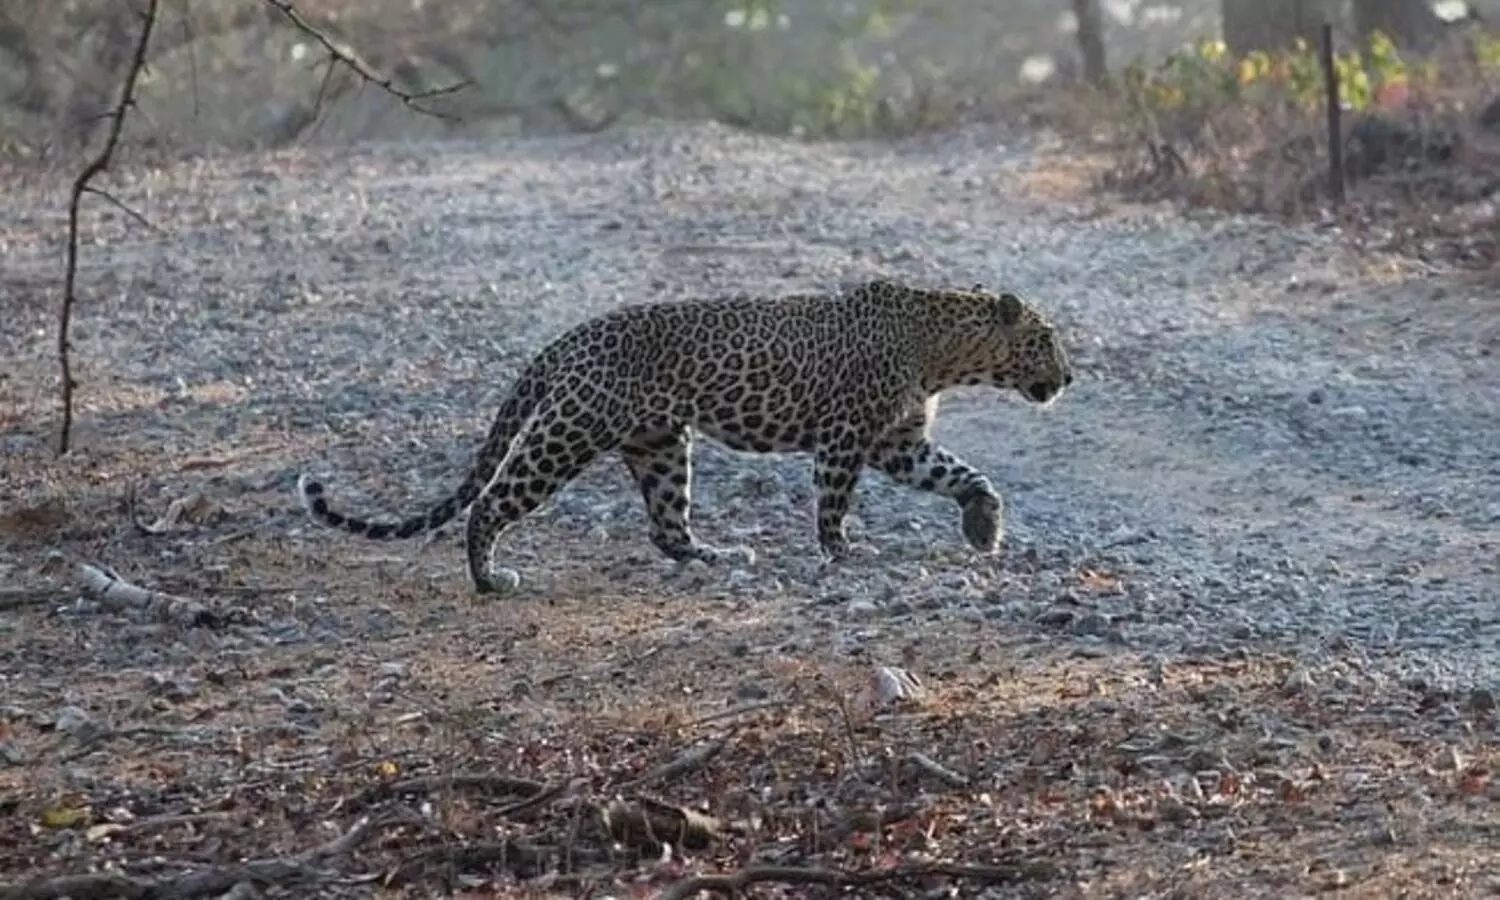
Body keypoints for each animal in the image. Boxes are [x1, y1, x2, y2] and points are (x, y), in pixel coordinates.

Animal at [297, 278, 1074, 595]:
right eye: (1044, 340)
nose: (1068, 377)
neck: (944, 350)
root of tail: (569, 338)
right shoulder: (847, 437)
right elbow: (833, 502)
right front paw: (843, 553)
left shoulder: (897, 441)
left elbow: (962, 473)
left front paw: (984, 526)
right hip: (567, 432)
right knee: (491, 503)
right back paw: (491, 580)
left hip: (661, 445)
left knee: (666, 527)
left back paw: (716, 555)